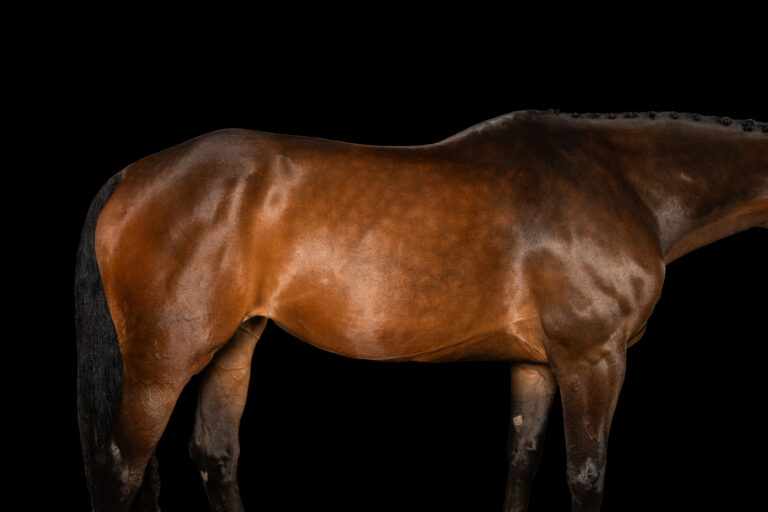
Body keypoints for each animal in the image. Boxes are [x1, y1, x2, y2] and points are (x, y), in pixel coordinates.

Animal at [75, 109, 768, 512]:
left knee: (213, 456)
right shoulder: (593, 358)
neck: (626, 182)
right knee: (119, 467)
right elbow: (586, 473)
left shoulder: (538, 364)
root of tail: (131, 175)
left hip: (234, 345)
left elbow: (522, 462)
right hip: (162, 362)